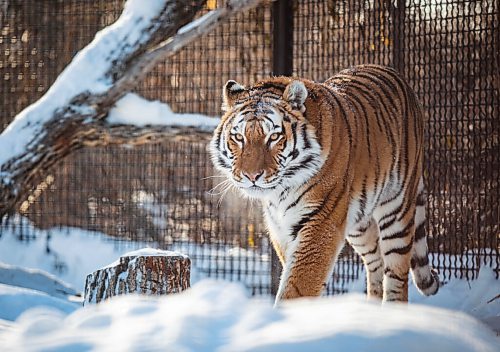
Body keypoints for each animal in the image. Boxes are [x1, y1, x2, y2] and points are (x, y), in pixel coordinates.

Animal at [209, 63, 440, 302]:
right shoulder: (280, 227)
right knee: (375, 260)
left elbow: (297, 287)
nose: (251, 176)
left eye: (273, 137)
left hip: (397, 211)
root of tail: (391, 71)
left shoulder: (321, 221)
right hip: (358, 224)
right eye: (239, 137)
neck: (280, 192)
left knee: (396, 274)